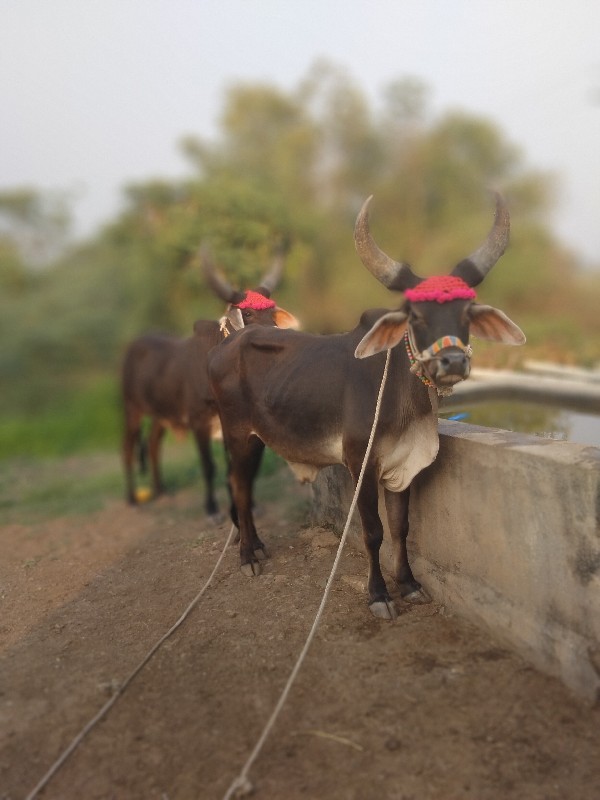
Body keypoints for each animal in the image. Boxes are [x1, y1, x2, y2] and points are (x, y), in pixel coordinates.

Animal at [121, 247, 298, 516]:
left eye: (272, 313)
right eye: (247, 314)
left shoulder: (230, 423)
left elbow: (234, 468)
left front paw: (246, 505)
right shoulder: (199, 422)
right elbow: (209, 465)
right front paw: (212, 508)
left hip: (161, 412)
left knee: (152, 444)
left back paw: (161, 491)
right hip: (132, 408)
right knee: (129, 449)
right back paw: (132, 498)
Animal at [207, 194, 524, 620]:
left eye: (466, 313)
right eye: (416, 315)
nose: (454, 362)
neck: (403, 396)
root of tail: (227, 342)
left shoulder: (403, 467)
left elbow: (401, 527)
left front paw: (408, 584)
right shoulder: (361, 463)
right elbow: (374, 532)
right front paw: (379, 594)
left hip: (256, 439)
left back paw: (255, 544)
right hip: (237, 434)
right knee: (240, 487)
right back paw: (247, 556)